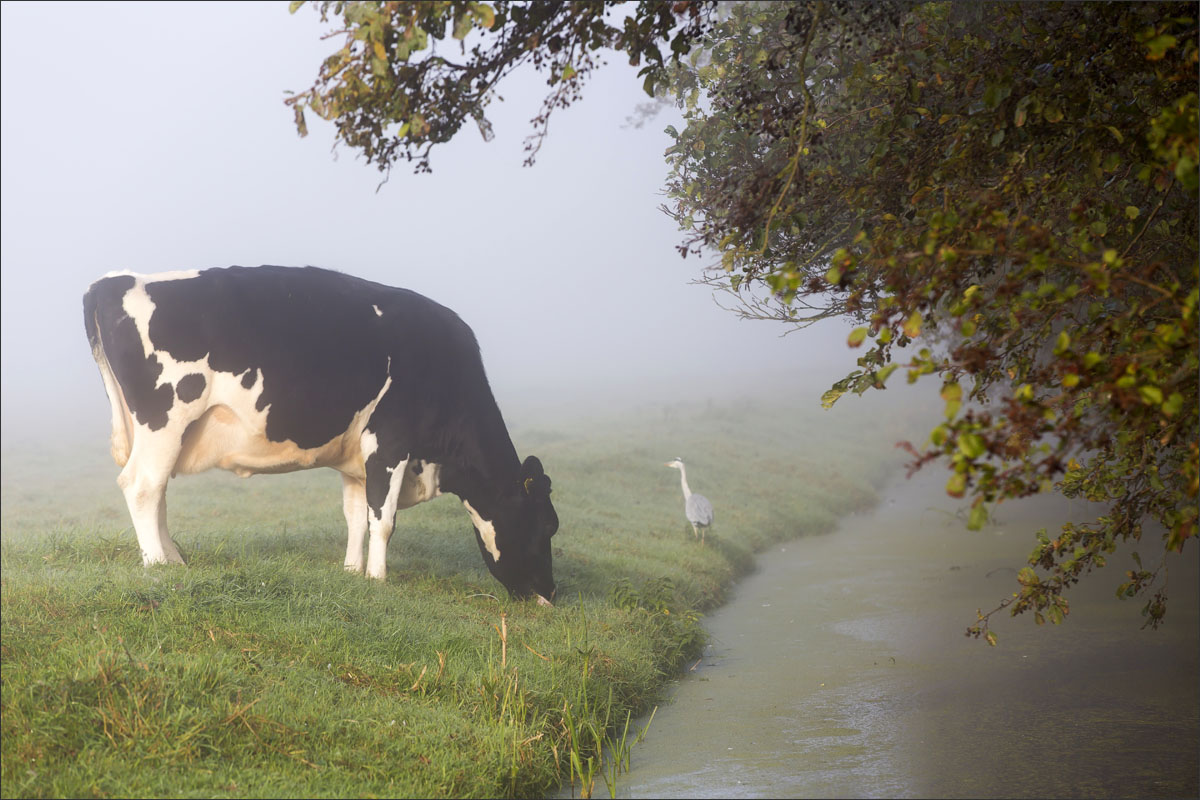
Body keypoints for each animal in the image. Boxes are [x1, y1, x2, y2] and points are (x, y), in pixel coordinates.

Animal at [82, 265, 558, 604]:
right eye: (549, 525)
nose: (550, 594)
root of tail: (117, 280)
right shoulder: (389, 442)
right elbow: (384, 520)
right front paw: (378, 580)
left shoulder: (357, 457)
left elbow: (356, 516)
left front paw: (352, 573)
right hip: (167, 417)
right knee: (142, 486)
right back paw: (158, 567)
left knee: (157, 488)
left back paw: (176, 561)